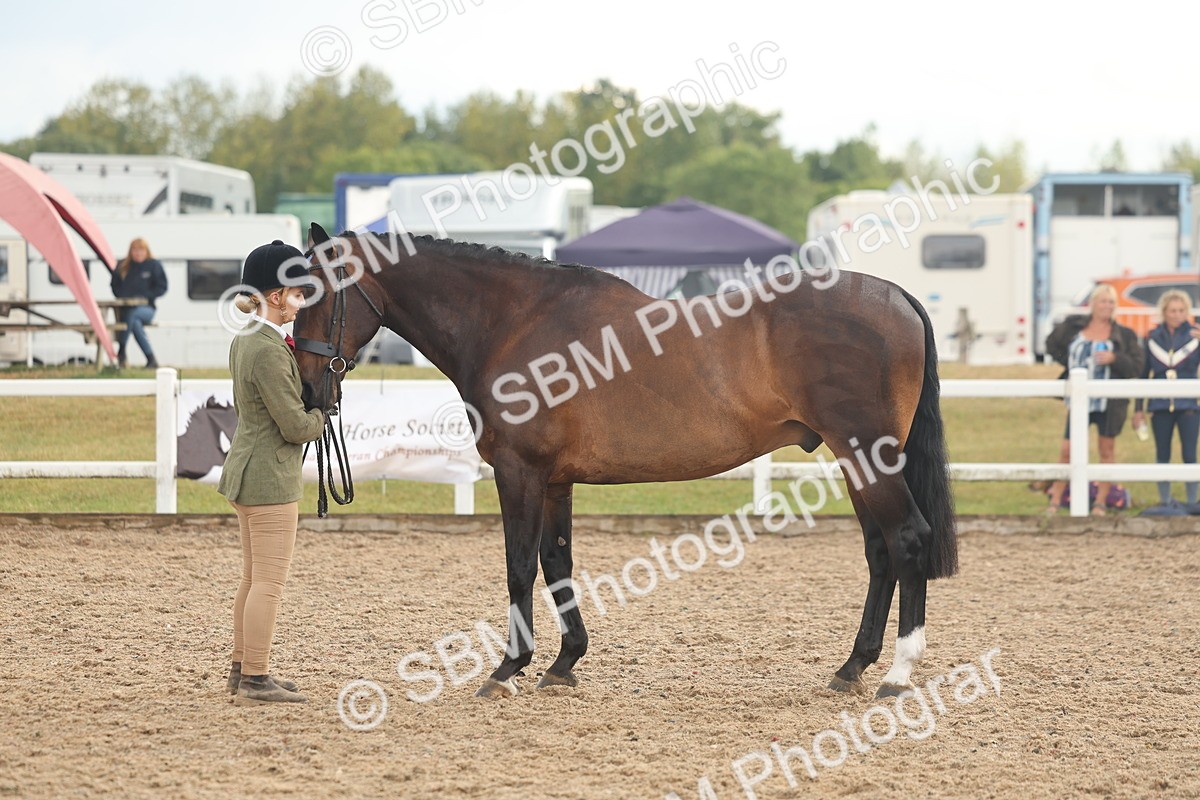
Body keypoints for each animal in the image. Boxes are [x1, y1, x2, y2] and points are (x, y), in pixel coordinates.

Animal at [291, 222, 958, 699]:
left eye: (317, 295)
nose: (310, 389)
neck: (514, 323)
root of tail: (897, 296)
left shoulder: (520, 472)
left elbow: (519, 566)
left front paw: (507, 669)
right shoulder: (555, 481)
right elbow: (557, 563)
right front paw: (563, 663)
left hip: (868, 457)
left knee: (907, 539)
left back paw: (897, 676)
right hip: (857, 464)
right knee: (880, 553)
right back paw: (851, 668)